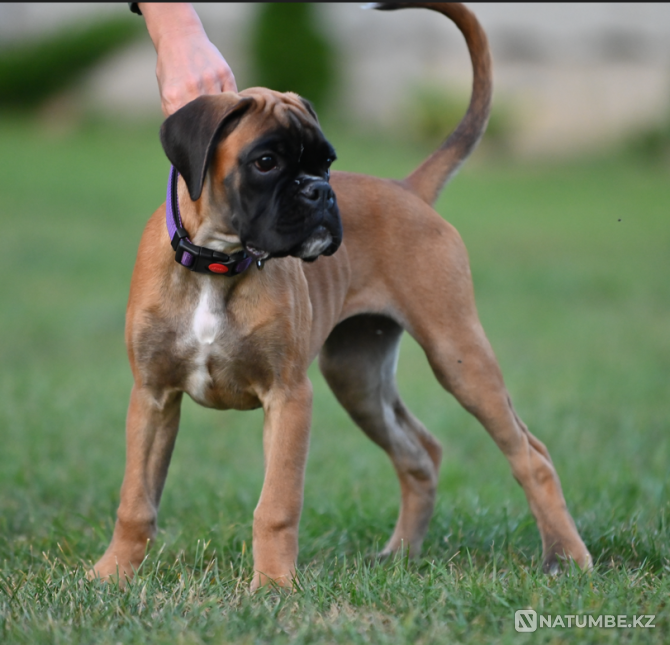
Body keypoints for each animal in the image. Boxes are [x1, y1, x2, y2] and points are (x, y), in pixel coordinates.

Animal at [90, 3, 592, 588]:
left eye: (326, 163)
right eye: (266, 162)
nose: (321, 192)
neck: (217, 261)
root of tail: (407, 188)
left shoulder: (289, 397)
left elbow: (277, 504)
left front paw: (273, 586)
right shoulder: (152, 396)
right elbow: (136, 498)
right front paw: (112, 574)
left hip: (458, 356)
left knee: (530, 454)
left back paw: (568, 557)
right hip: (358, 376)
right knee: (421, 453)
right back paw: (400, 554)